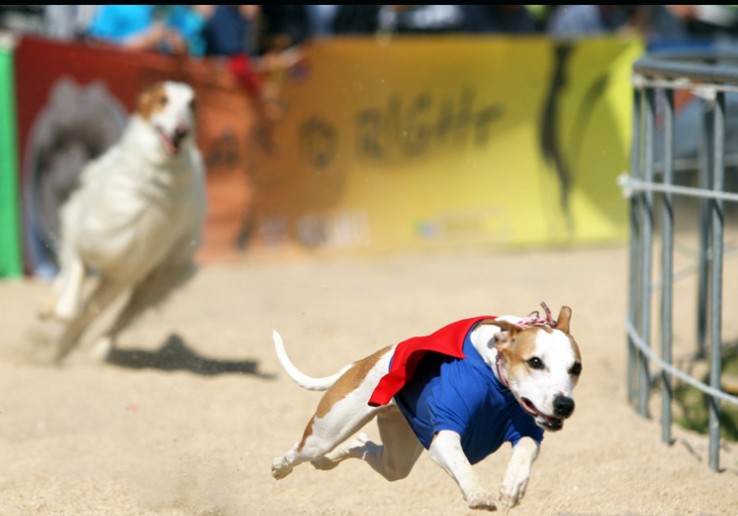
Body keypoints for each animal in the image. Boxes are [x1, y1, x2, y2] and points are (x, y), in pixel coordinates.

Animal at [39, 80, 207, 362]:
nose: (181, 131)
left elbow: (87, 310)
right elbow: (73, 280)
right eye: (163, 100)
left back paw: (94, 348)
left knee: (120, 315)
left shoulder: (127, 268)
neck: (153, 178)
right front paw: (58, 309)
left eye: (191, 104)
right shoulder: (89, 235)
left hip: (156, 280)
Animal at [270, 302, 580, 512]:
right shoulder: (444, 435)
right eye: (535, 362)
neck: (492, 376)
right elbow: (461, 461)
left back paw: (330, 459)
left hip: (396, 455)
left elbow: (525, 448)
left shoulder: (527, 426)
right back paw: (280, 466)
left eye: (576, 368)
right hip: (327, 431)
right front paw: (478, 492)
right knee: (302, 450)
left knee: (367, 449)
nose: (564, 405)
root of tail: (363, 362)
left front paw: (513, 486)